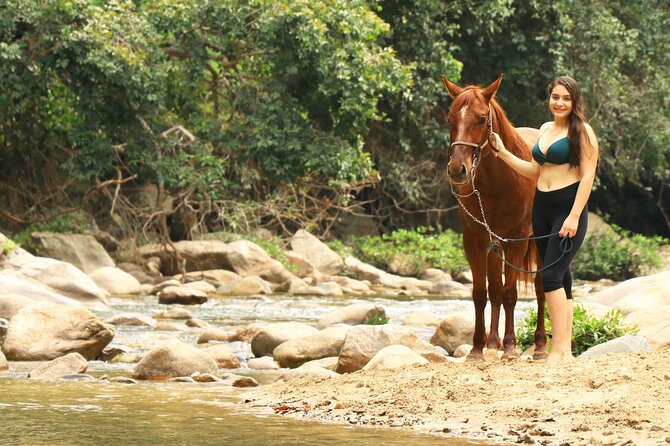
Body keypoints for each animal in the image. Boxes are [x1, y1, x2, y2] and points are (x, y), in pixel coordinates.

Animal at [442, 74, 547, 360]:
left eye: (481, 118)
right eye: (450, 119)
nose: (457, 170)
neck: (500, 181)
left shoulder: (516, 240)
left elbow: (511, 293)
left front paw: (510, 348)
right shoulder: (475, 240)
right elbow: (482, 293)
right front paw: (478, 348)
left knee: (541, 288)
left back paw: (540, 346)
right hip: (494, 246)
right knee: (495, 291)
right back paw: (492, 343)